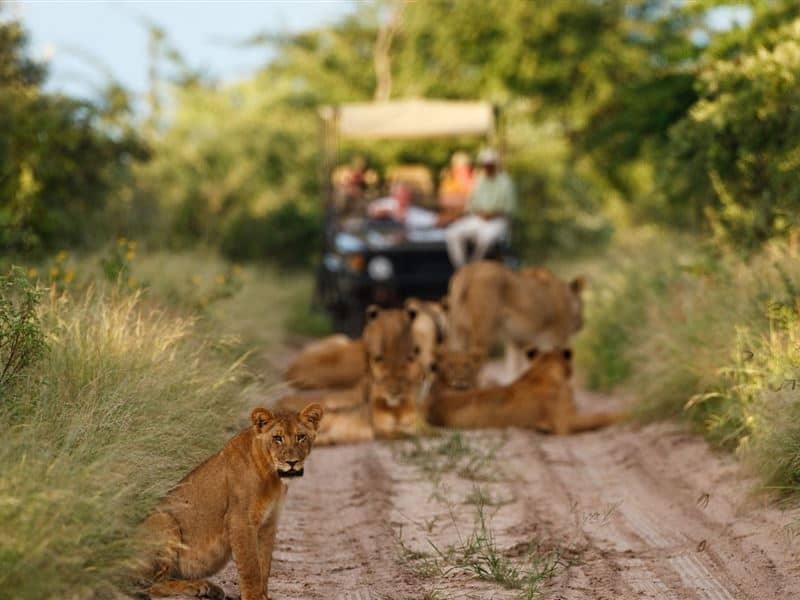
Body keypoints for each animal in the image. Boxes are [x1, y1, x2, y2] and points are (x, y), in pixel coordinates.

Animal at [140, 403, 323, 599]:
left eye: (301, 437)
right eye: (277, 438)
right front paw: (254, 597)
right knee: (151, 586)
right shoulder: (240, 520)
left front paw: (263, 595)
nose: (292, 462)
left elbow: (264, 564)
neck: (273, 478)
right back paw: (196, 588)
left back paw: (209, 588)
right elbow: (250, 566)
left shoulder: (268, 523)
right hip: (163, 519)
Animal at [447, 261, 585, 381]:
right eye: (582, 305)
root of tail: (469, 271)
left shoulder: (516, 342)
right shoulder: (557, 339)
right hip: (482, 334)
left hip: (458, 332)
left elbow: (514, 372)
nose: (581, 324)